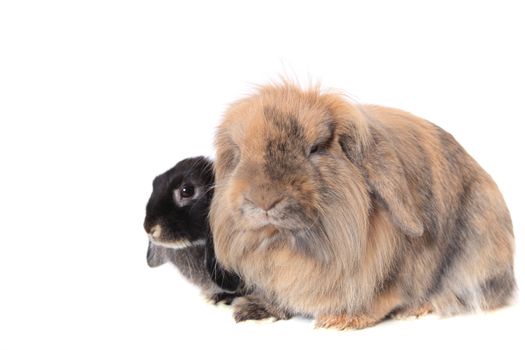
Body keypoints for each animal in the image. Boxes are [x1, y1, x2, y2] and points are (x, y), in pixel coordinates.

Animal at [209, 81, 516, 328]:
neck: (291, 246)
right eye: (240, 153)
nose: (263, 200)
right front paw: (253, 311)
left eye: (315, 149)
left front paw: (341, 321)